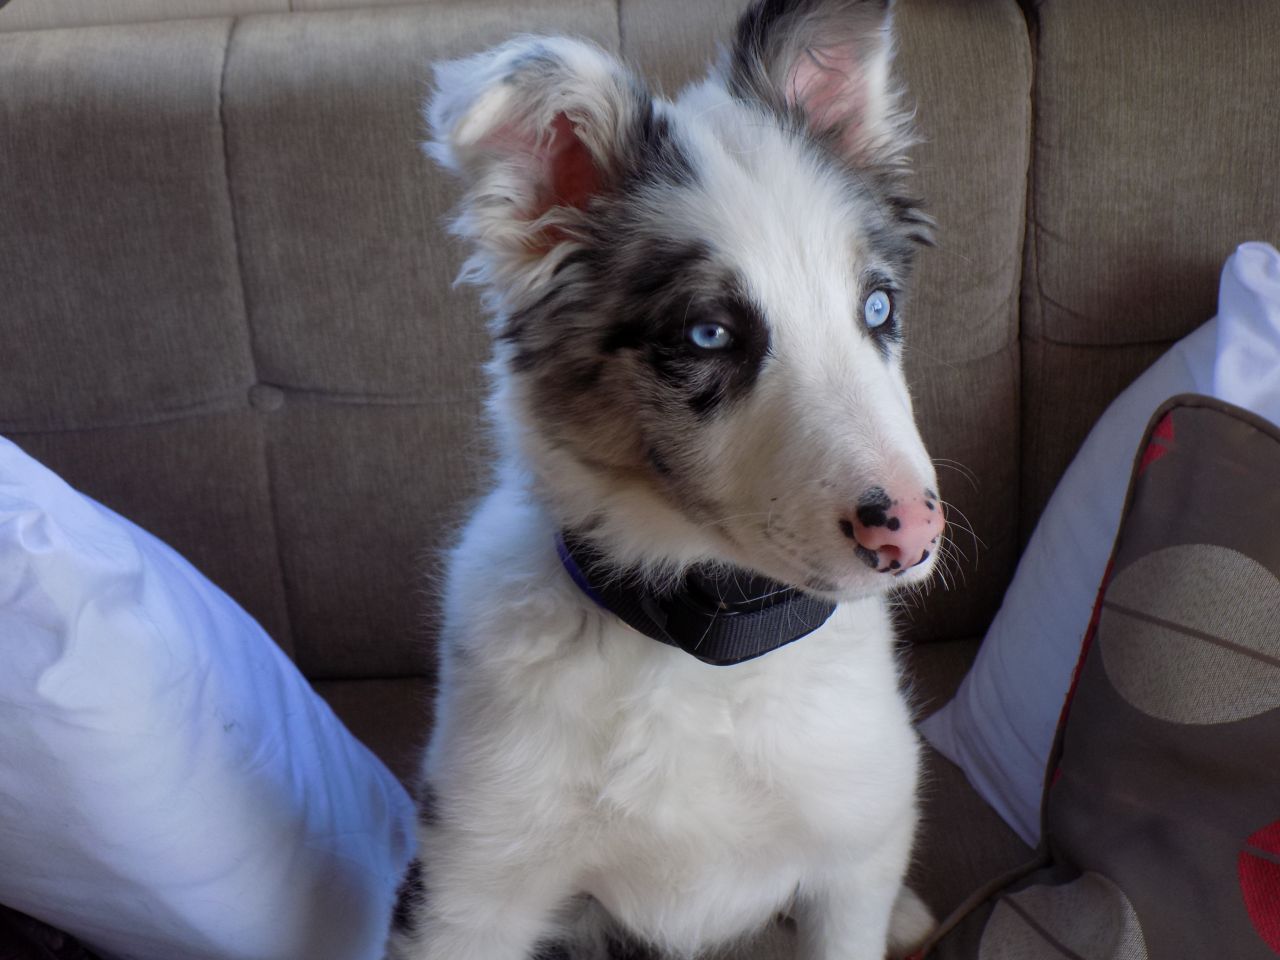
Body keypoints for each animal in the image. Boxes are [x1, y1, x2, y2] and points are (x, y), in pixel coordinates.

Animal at [391, 0, 952, 957]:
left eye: (878, 308)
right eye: (708, 335)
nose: (912, 535)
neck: (703, 650)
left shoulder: (848, 868)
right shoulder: (468, 888)